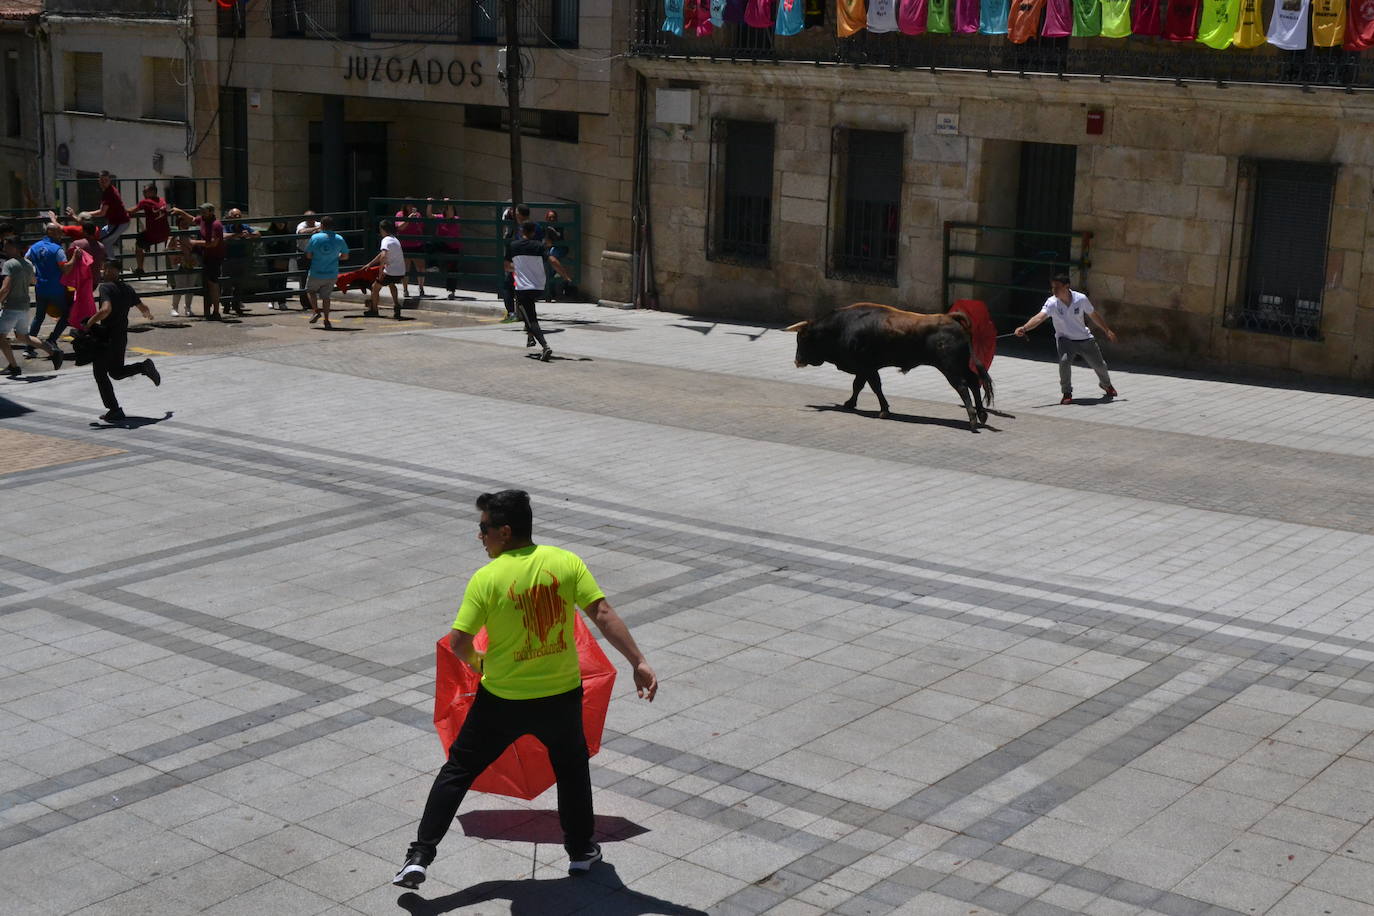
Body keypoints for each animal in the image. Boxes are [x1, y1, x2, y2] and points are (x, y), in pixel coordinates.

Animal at [785, 300, 1000, 431]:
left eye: (802, 339)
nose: (797, 361)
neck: (841, 328)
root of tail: (951, 318)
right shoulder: (865, 368)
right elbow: (858, 385)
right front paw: (850, 403)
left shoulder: (866, 366)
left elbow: (874, 387)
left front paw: (884, 411)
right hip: (961, 365)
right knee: (974, 381)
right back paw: (981, 415)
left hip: (950, 368)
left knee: (963, 387)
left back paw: (972, 419)